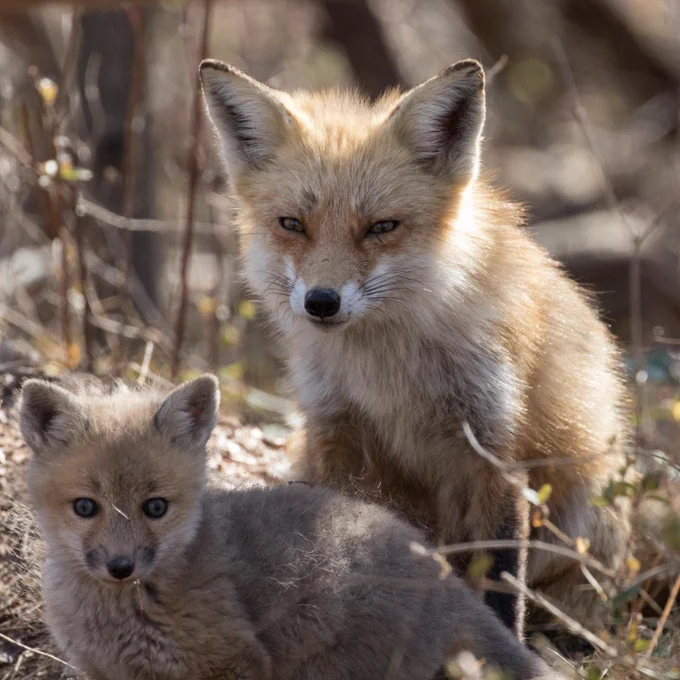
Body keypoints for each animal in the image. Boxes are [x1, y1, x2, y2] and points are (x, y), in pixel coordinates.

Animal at [19, 374, 566, 680]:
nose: (121, 566)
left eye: (155, 507)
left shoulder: (235, 662)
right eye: (85, 507)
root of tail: (440, 572)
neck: (118, 616)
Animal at [199, 58, 632, 636]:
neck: (387, 373)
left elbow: (500, 580)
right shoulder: (335, 433)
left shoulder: (493, 450)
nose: (321, 302)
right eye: (292, 224)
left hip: (583, 509)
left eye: (381, 227)